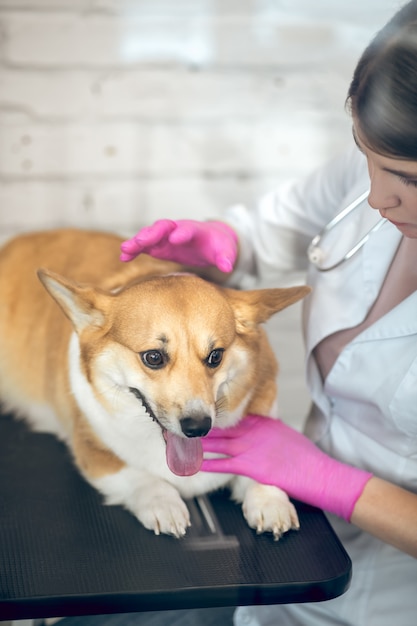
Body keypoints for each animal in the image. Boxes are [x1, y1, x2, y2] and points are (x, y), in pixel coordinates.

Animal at [0, 228, 308, 536]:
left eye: (216, 356)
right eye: (153, 357)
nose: (198, 428)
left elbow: (262, 468)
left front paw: (270, 501)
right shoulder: (93, 453)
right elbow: (141, 478)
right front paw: (163, 504)